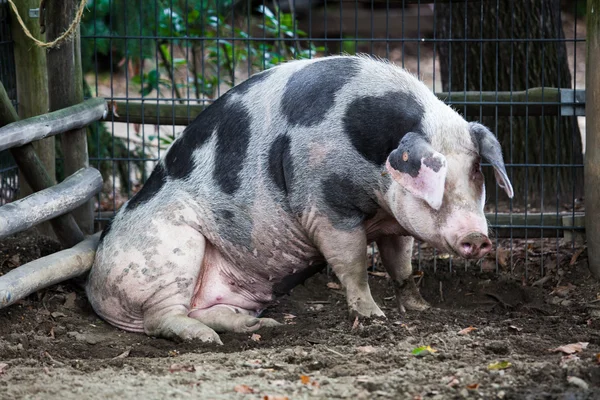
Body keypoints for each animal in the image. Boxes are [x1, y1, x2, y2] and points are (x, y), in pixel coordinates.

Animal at [86, 55, 512, 344]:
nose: (477, 237)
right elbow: (353, 265)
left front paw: (421, 307)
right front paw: (375, 318)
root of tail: (93, 283)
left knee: (208, 311)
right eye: (438, 181)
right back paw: (209, 340)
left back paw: (263, 325)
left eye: (476, 173)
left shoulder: (394, 222)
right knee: (160, 319)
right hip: (169, 251)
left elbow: (402, 266)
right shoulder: (324, 205)